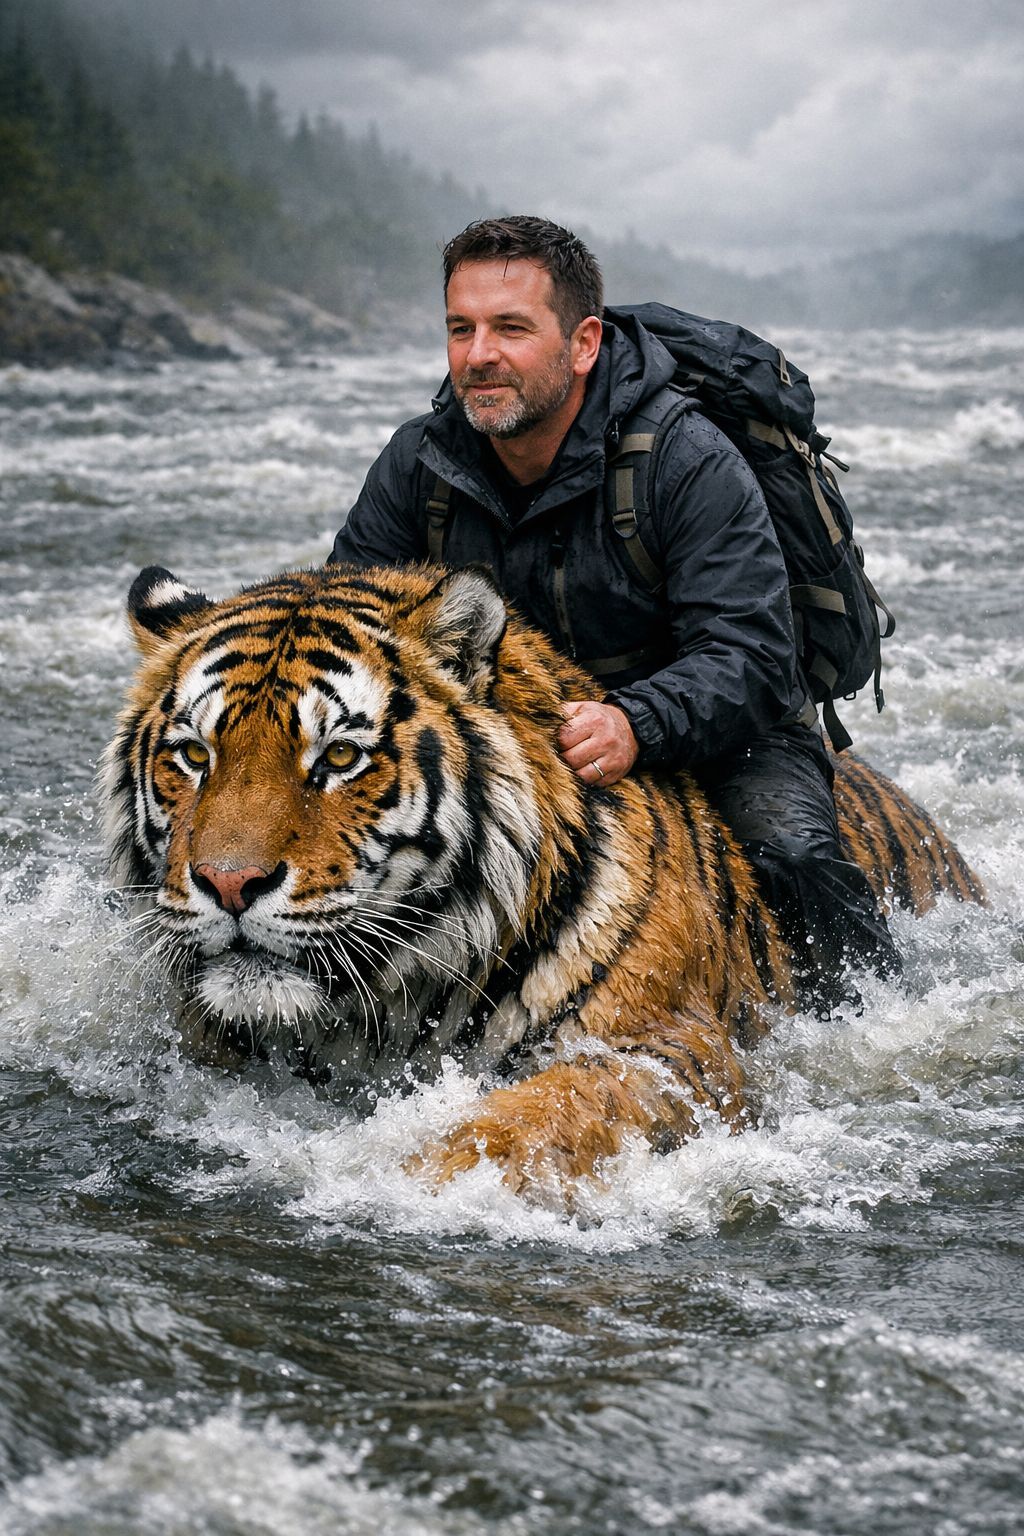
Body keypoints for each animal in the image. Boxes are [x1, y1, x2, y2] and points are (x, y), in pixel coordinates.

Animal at [101, 562, 985, 1202]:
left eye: (341, 757)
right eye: (194, 755)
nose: (228, 884)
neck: (391, 1007)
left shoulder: (670, 1049)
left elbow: (535, 1112)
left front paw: (419, 1182)